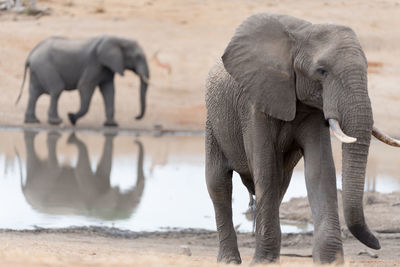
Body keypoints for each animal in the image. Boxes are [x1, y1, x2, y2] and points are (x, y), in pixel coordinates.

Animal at [15, 35, 150, 127]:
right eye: (138, 57)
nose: (136, 117)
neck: (118, 39)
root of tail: (31, 54)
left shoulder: (107, 67)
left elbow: (109, 91)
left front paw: (111, 125)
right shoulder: (95, 64)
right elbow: (84, 86)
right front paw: (72, 118)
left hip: (38, 68)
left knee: (34, 93)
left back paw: (32, 121)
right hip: (45, 66)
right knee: (56, 89)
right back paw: (56, 122)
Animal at [206, 13, 400, 264]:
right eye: (321, 71)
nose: (377, 243)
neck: (300, 35)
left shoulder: (315, 109)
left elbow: (320, 170)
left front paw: (330, 261)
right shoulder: (254, 106)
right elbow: (266, 171)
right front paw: (264, 262)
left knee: (280, 185)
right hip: (212, 124)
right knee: (218, 184)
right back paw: (229, 261)